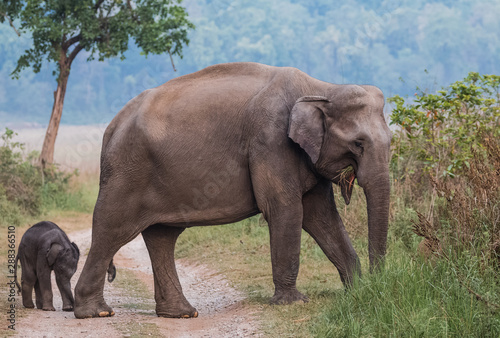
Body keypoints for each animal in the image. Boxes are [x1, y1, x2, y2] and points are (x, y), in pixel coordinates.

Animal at [75, 62, 390, 320]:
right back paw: (96, 312)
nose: (378, 284)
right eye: (358, 143)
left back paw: (181, 313)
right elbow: (285, 209)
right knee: (112, 228)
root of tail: (111, 127)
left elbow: (321, 216)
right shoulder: (270, 141)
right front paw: (294, 303)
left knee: (162, 236)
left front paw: (357, 288)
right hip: (127, 172)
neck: (321, 88)